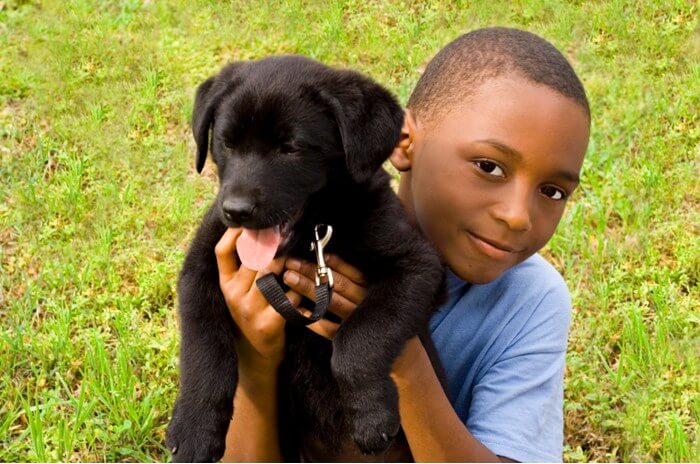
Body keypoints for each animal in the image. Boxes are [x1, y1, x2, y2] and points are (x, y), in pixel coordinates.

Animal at [165, 55, 442, 460]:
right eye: (226, 143)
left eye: (291, 148)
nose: (236, 210)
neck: (312, 235)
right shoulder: (201, 267)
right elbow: (204, 348)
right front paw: (195, 429)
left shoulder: (418, 265)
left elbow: (360, 336)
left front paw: (371, 414)